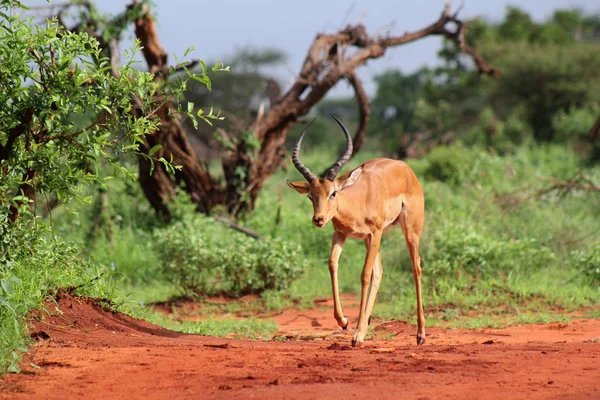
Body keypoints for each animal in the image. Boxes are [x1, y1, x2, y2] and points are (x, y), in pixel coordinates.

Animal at [288, 113, 424, 346]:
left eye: (333, 192)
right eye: (310, 196)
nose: (318, 219)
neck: (358, 200)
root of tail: (406, 168)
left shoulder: (375, 232)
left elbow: (364, 275)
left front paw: (356, 334)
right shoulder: (341, 234)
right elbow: (333, 264)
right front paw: (343, 322)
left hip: (409, 231)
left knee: (416, 268)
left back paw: (420, 334)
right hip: (371, 241)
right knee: (380, 271)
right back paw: (365, 325)